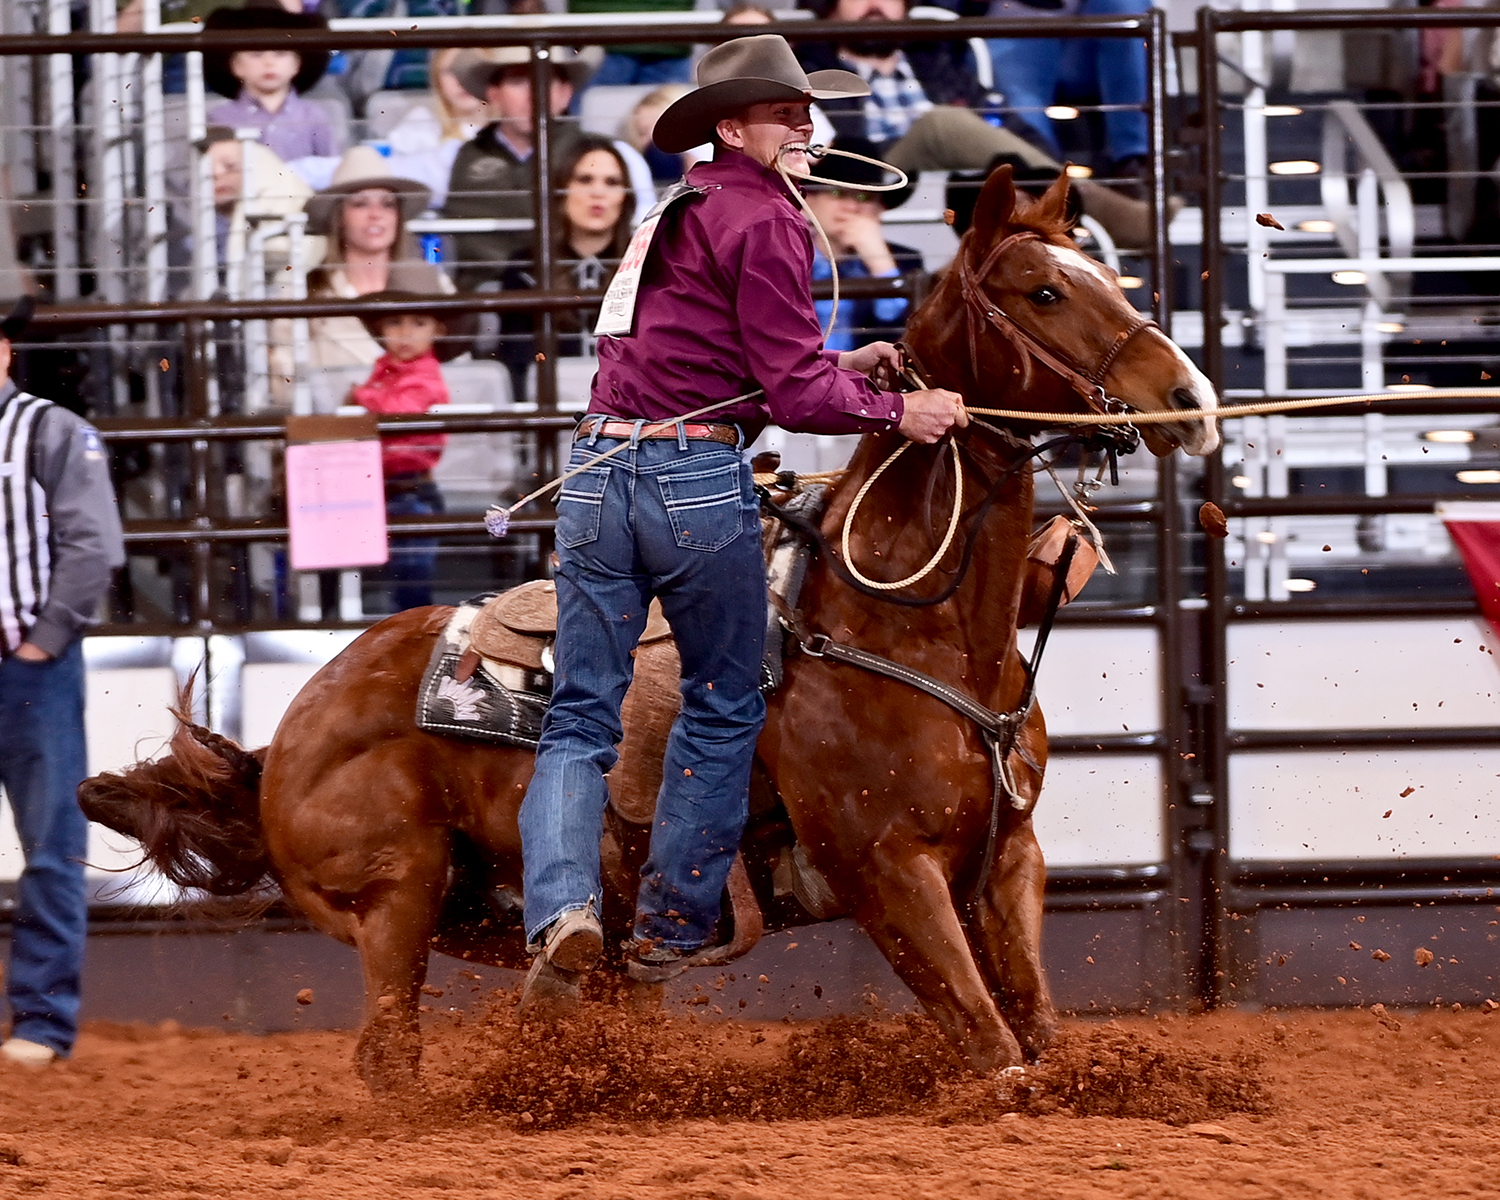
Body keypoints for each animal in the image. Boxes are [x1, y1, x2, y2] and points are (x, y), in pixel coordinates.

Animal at [79, 164, 1218, 1092]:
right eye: (1044, 292)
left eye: (1108, 275)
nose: (1190, 398)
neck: (910, 632)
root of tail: (286, 738)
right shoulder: (886, 871)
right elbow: (992, 1049)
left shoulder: (1008, 859)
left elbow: (1040, 1030)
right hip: (399, 895)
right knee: (389, 1053)